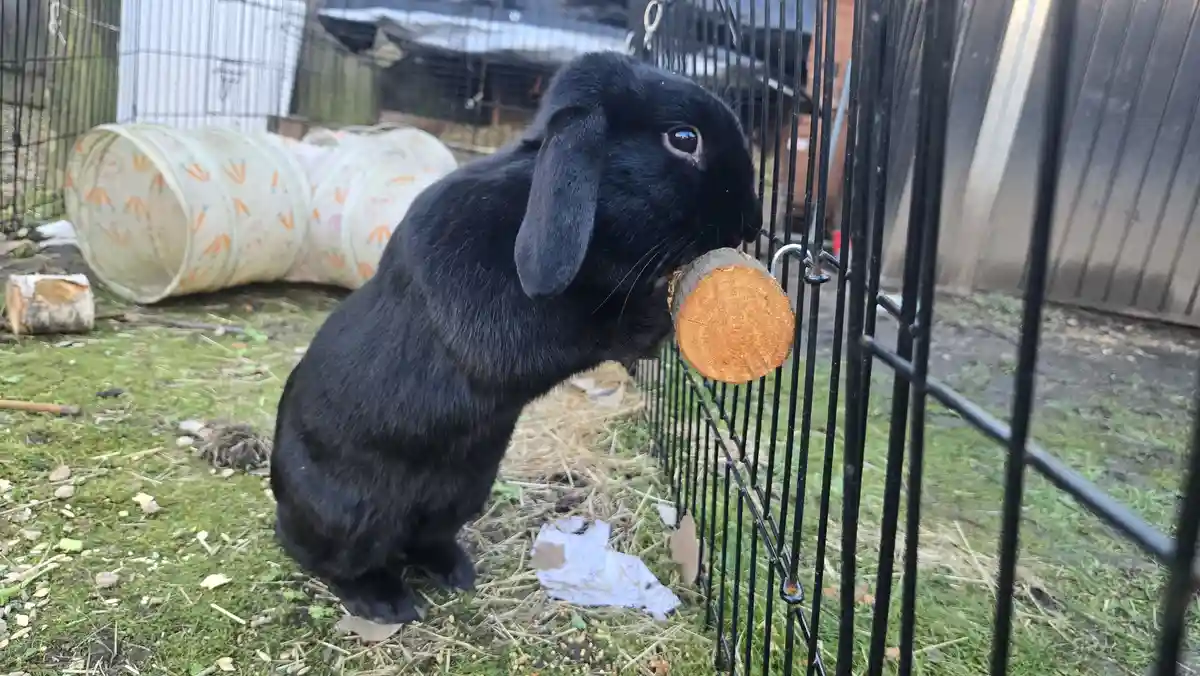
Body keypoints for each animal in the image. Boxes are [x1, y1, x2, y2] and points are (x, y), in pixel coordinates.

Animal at [269, 50, 762, 624]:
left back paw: (455, 571)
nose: (751, 223)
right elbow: (587, 324)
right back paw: (384, 601)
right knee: (335, 558)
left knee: (421, 539)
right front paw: (653, 304)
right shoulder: (497, 318)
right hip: (352, 515)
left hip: (461, 492)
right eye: (684, 139)